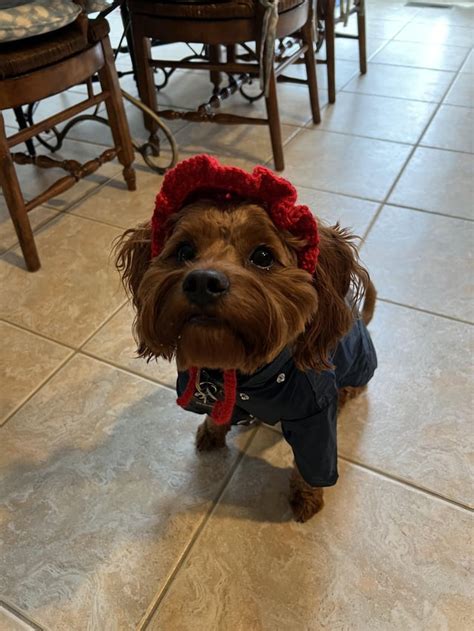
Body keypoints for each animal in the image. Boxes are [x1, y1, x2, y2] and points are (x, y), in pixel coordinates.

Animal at [115, 154, 378, 524]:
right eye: (184, 251)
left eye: (263, 256)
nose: (202, 281)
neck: (244, 374)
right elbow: (216, 414)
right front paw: (213, 430)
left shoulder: (315, 418)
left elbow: (315, 462)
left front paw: (307, 496)